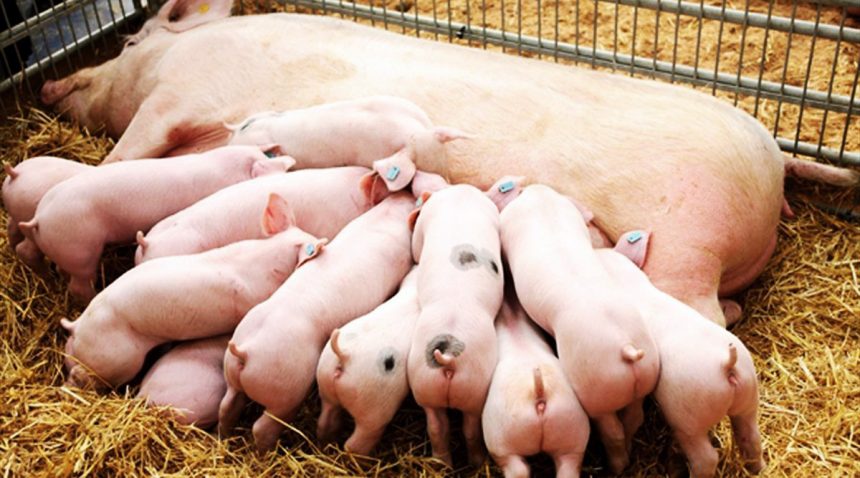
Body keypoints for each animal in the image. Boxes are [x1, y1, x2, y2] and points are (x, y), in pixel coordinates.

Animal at [18, 145, 293, 300]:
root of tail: (39, 218)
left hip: (45, 240)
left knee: (25, 250)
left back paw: (44, 275)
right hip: (80, 250)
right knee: (79, 285)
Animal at [406, 184, 504, 466]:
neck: (461, 197)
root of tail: (448, 356)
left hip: (431, 382)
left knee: (441, 426)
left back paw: (449, 464)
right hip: (461, 385)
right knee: (460, 427)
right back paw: (467, 463)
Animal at [500, 184, 660, 474]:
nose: (533, 186)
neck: (543, 203)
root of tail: (627, 348)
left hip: (594, 387)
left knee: (611, 430)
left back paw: (616, 467)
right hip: (645, 375)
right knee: (634, 418)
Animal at [598, 242, 764, 478]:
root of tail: (726, 363)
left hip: (688, 417)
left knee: (706, 458)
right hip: (749, 396)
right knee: (751, 436)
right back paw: (758, 469)